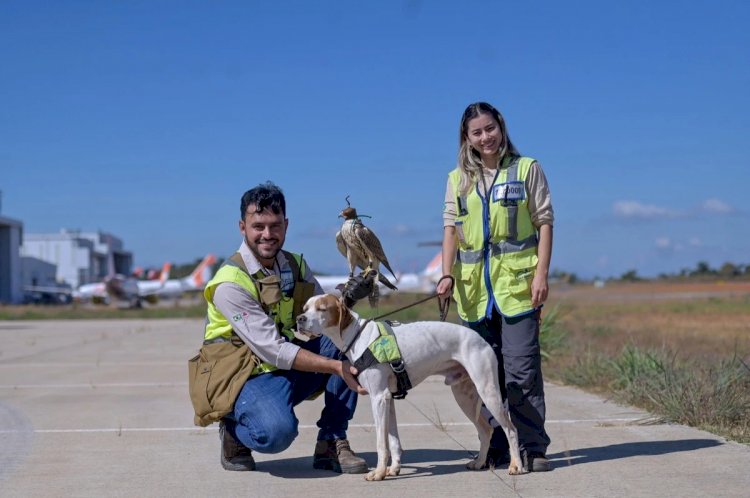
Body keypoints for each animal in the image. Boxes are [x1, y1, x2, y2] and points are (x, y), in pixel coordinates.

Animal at [296, 294, 524, 480]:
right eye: (305, 307)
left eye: (322, 308)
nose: (299, 319)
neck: (358, 336)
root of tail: (481, 339)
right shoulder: (389, 399)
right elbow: (393, 440)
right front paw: (393, 469)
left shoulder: (378, 398)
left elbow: (382, 443)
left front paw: (378, 473)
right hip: (464, 396)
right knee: (486, 430)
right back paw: (479, 462)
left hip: (488, 391)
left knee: (511, 429)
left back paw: (516, 466)